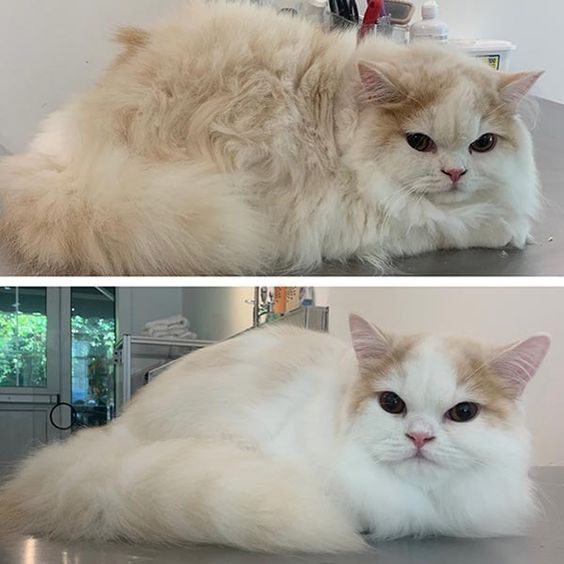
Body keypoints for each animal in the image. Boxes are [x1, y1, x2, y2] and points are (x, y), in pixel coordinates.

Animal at [0, 1, 540, 276]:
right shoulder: (371, 223)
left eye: (483, 144)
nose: (455, 172)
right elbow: (447, 226)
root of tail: (68, 168)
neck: (339, 121)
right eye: (419, 143)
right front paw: (509, 230)